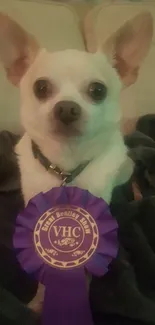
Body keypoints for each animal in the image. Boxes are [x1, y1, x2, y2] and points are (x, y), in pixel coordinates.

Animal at [0, 7, 153, 310]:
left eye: (98, 91)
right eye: (41, 88)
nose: (67, 108)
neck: (65, 167)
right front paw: (38, 303)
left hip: (125, 167)